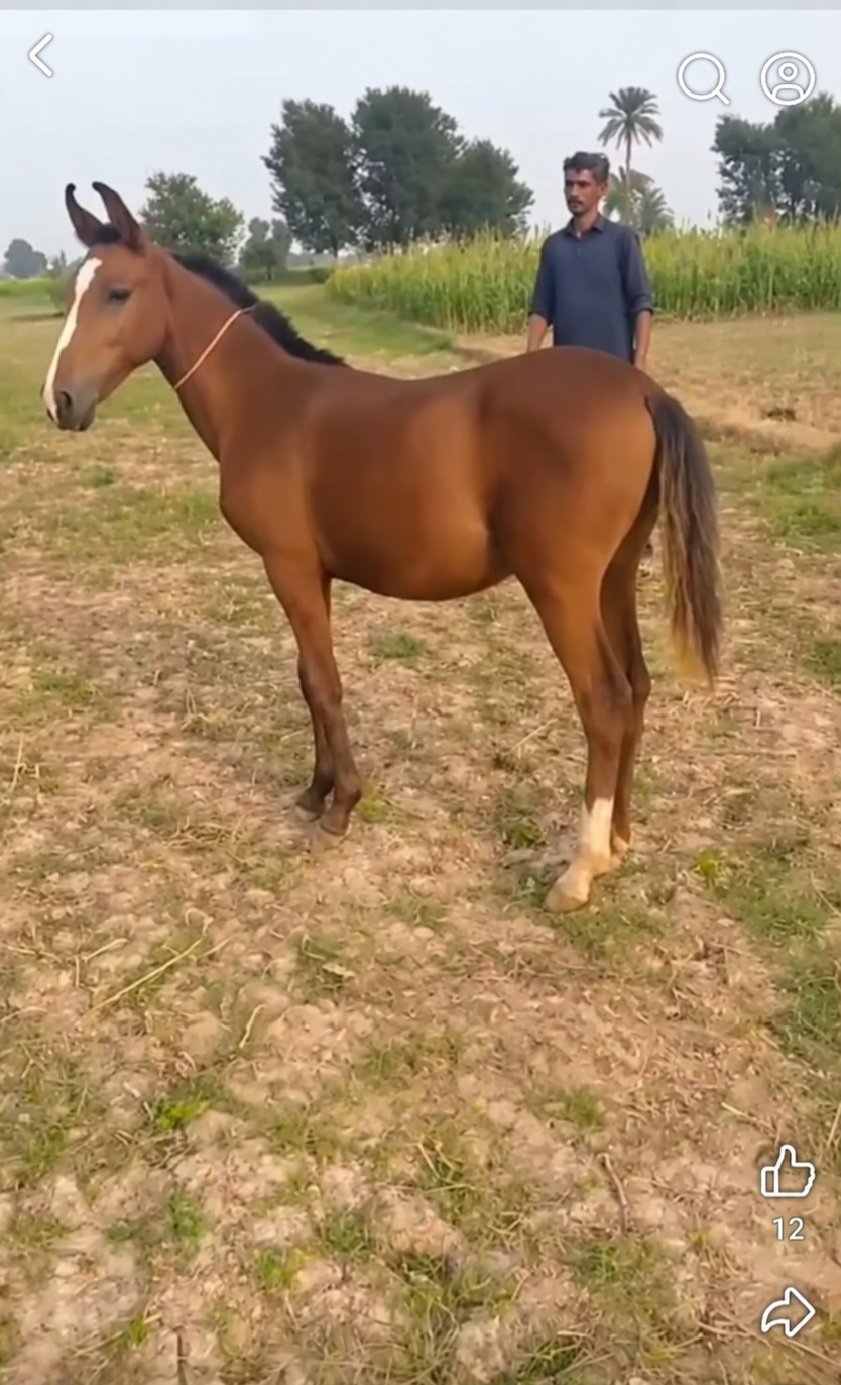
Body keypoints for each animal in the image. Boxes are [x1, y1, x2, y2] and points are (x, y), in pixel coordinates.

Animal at [40, 182, 722, 913]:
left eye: (118, 292)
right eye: (73, 287)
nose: (60, 401)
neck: (267, 402)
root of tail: (642, 390)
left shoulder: (287, 566)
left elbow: (324, 681)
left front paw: (340, 808)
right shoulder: (313, 574)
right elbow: (309, 680)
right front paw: (315, 791)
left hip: (562, 587)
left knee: (603, 699)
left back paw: (580, 868)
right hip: (613, 576)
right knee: (638, 686)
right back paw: (618, 840)